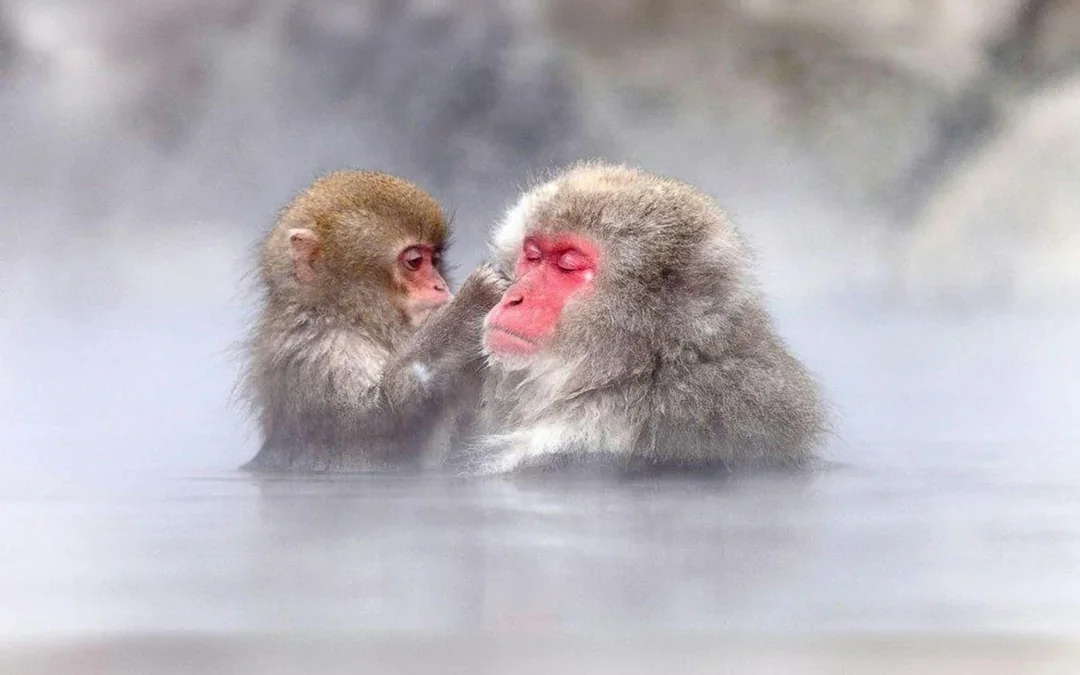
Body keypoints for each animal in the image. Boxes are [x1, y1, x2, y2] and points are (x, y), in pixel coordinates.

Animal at [238, 170, 508, 472]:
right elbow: (378, 423)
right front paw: (470, 306)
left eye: (435, 260)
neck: (349, 317)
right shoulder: (321, 352)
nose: (440, 285)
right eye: (415, 261)